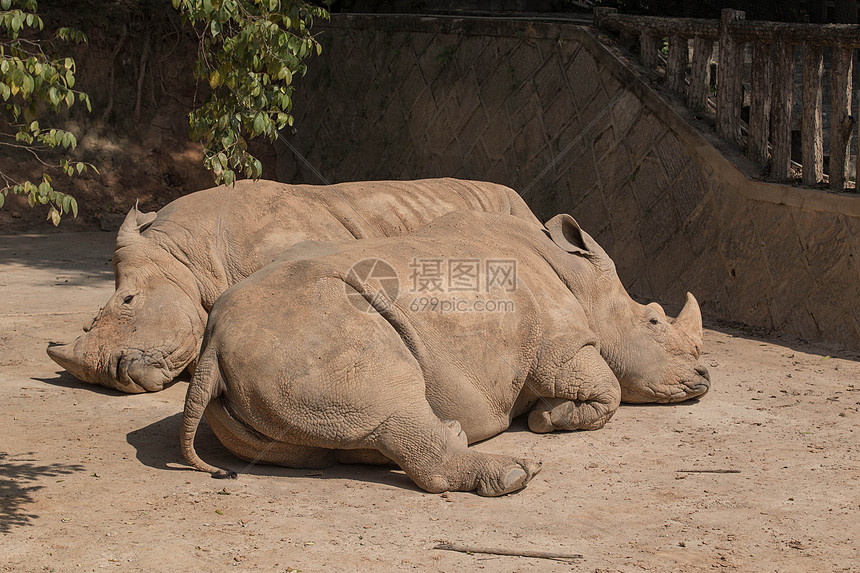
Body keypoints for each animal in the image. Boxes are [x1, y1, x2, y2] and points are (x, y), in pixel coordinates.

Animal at [180, 210, 704, 496]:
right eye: (654, 322)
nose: (704, 379)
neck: (585, 281)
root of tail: (213, 345)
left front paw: (544, 414)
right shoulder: (563, 348)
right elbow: (609, 391)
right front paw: (549, 418)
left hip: (276, 349)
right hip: (312, 328)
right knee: (389, 399)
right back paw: (515, 473)